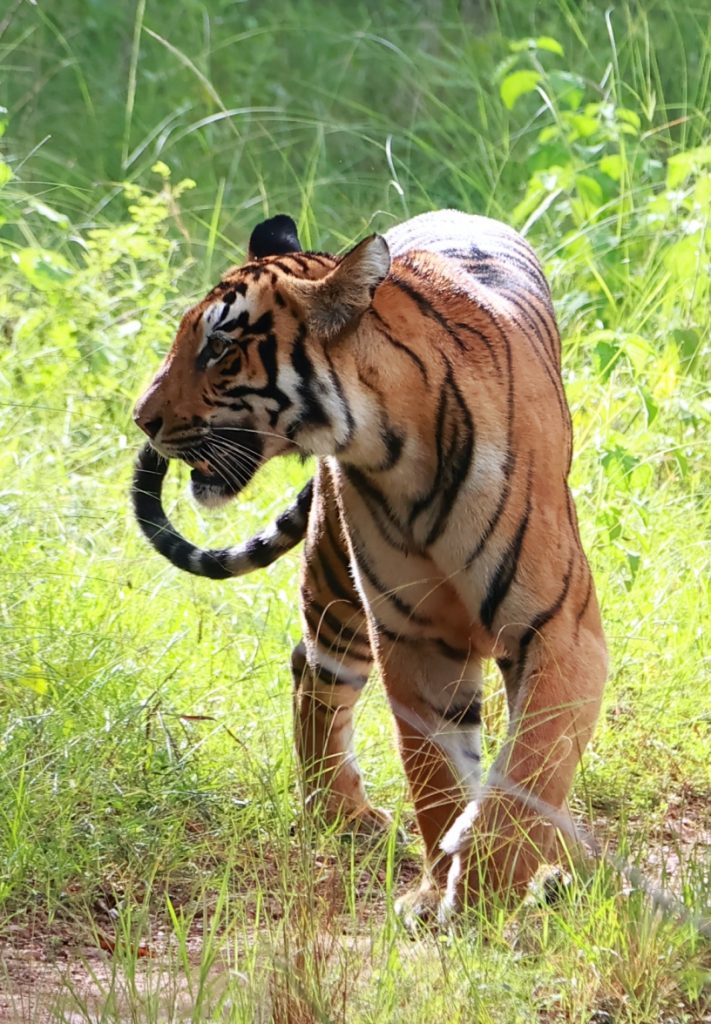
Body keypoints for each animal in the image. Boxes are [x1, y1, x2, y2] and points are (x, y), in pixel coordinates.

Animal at [132, 207, 606, 921]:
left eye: (218, 349)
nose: (142, 419)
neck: (394, 450)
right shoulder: (414, 636)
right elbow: (435, 774)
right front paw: (443, 893)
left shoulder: (560, 632)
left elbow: (531, 768)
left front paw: (488, 893)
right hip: (336, 581)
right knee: (312, 669)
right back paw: (341, 814)